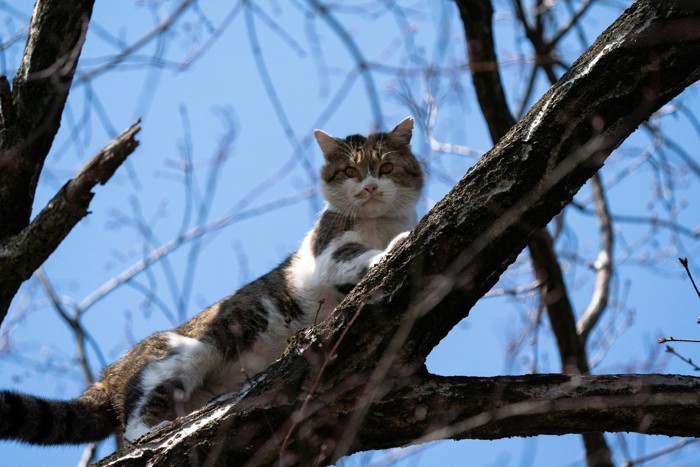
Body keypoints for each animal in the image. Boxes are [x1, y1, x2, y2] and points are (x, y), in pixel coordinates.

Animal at [0, 116, 422, 446]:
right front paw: (394, 246)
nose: (370, 187)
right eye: (351, 172)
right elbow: (357, 257)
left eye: (385, 169)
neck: (379, 223)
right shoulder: (329, 252)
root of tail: (108, 373)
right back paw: (153, 432)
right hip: (180, 356)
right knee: (137, 415)